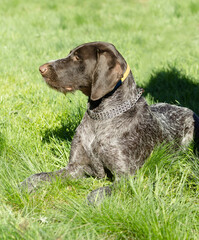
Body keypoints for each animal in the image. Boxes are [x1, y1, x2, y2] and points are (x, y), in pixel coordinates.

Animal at [21, 41, 199, 202]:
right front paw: (26, 185)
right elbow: (39, 176)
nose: (41, 69)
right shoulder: (75, 167)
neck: (100, 117)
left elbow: (94, 196)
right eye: (70, 54)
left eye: (77, 58)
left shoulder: (126, 178)